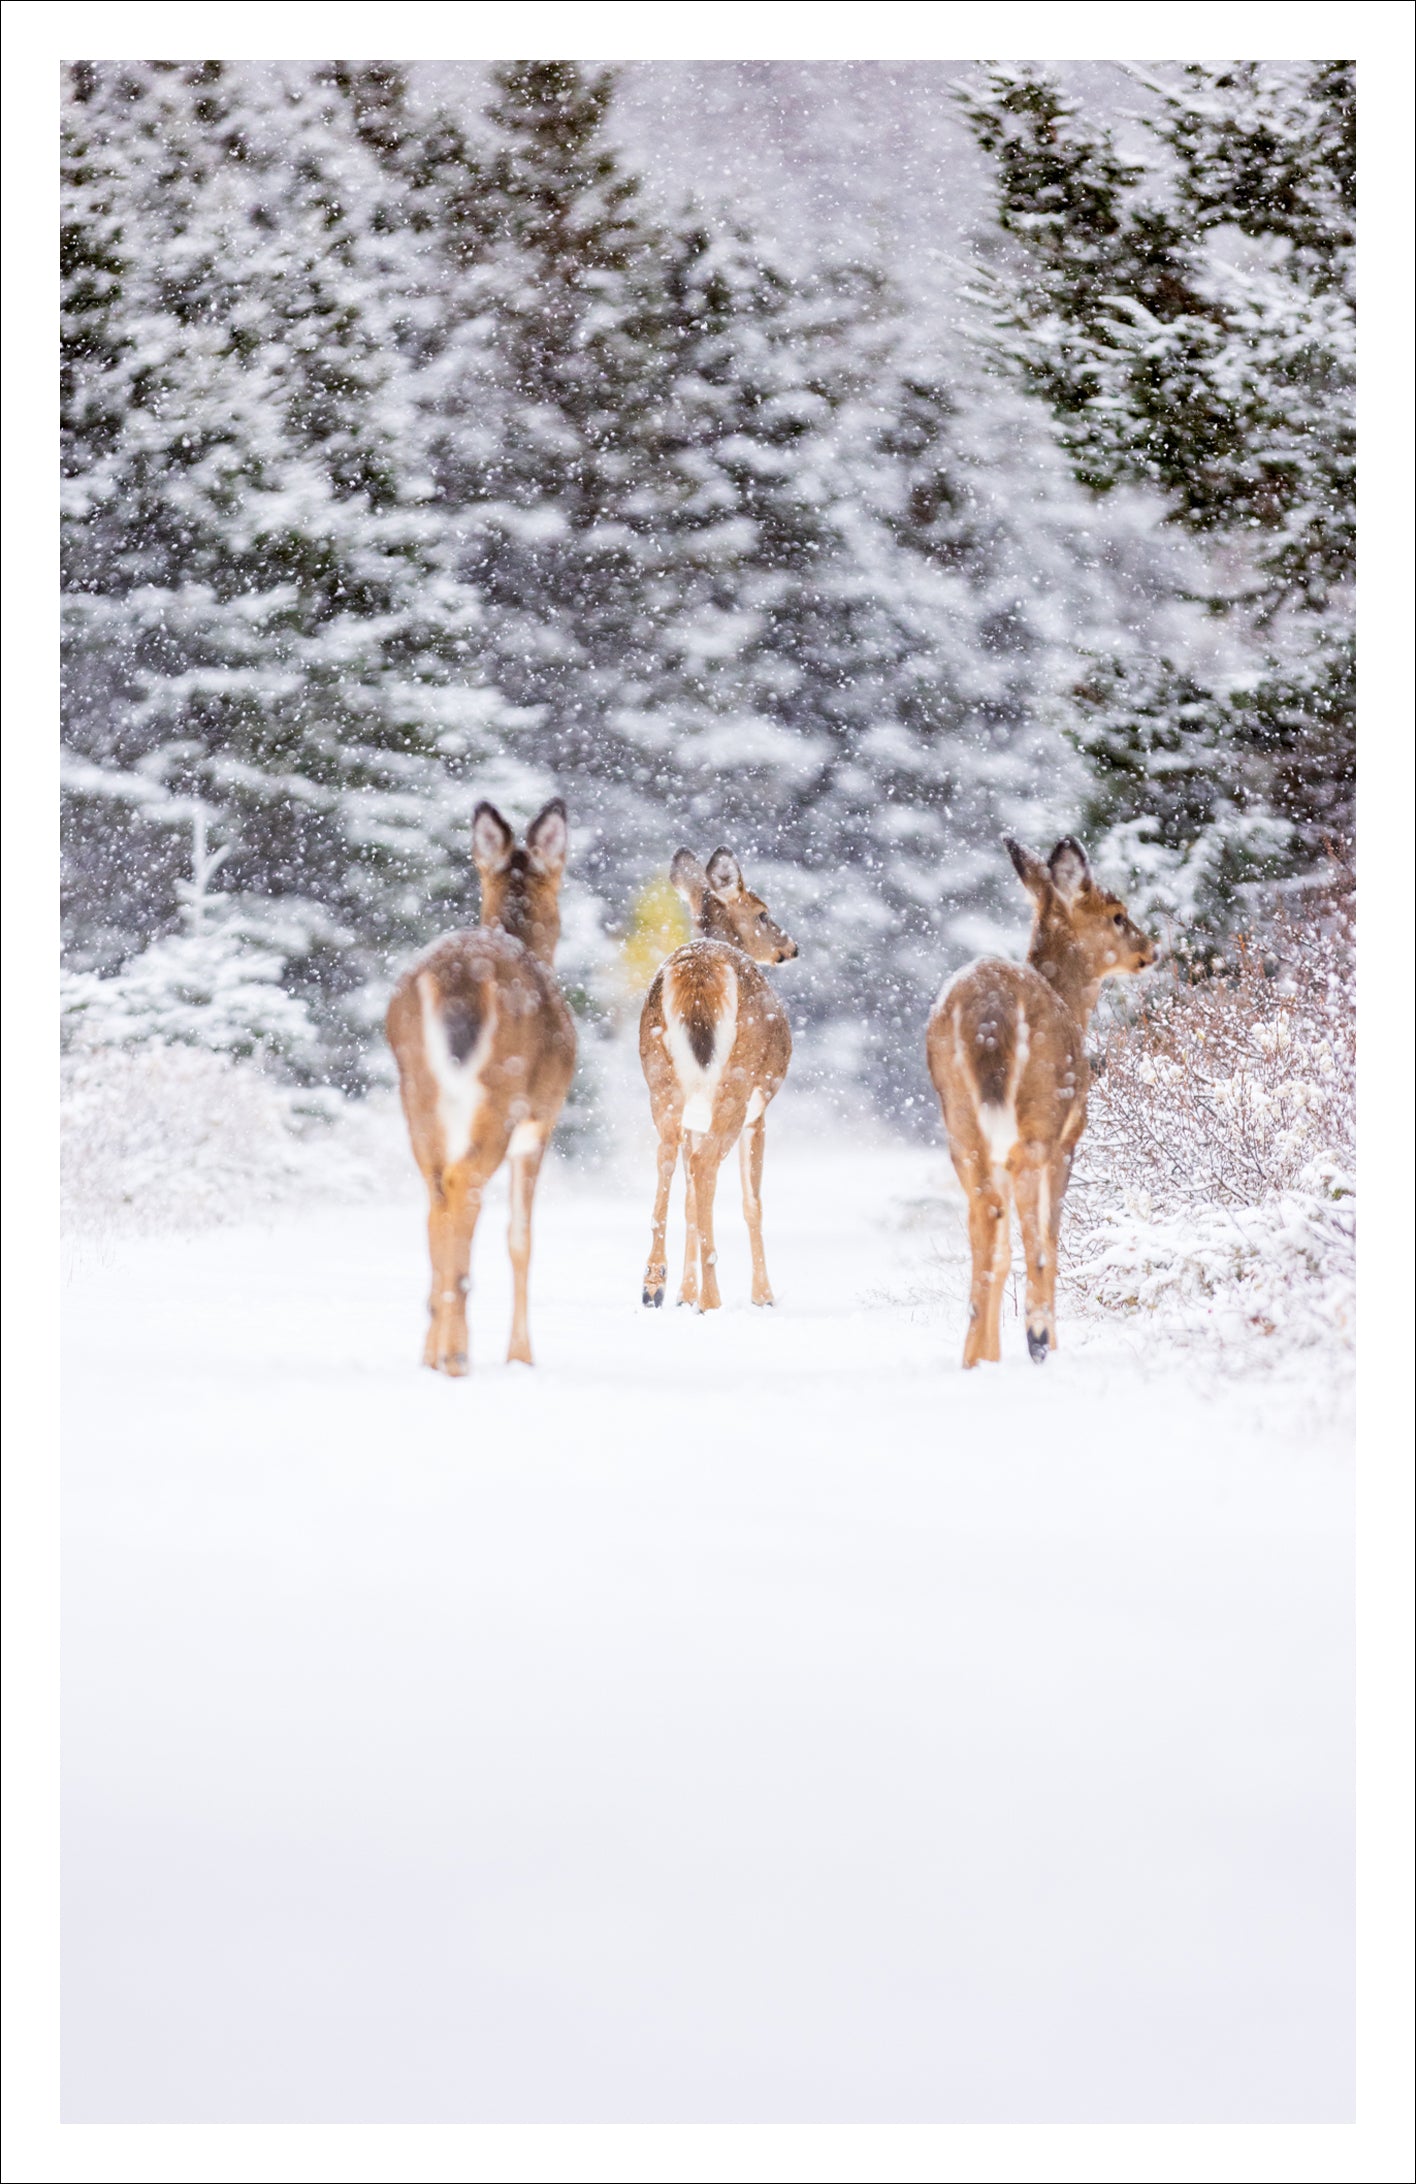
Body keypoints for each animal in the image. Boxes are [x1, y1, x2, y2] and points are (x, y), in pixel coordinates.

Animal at [385, 799, 576, 1374]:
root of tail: (457, 981)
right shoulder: (540, 1122)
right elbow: (521, 1238)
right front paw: (521, 1356)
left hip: (417, 1092)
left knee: (435, 1196)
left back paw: (435, 1348)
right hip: (500, 1095)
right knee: (462, 1187)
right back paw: (456, 1352)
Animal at [639, 848, 798, 1312]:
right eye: (763, 912)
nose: (791, 947)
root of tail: (699, 971)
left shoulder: (694, 1117)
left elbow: (691, 1201)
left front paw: (682, 1293)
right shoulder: (759, 1111)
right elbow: (752, 1202)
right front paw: (764, 1296)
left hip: (661, 1082)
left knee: (668, 1157)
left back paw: (653, 1283)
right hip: (737, 1085)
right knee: (704, 1164)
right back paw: (712, 1298)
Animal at [926, 837, 1155, 1369]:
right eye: (1118, 914)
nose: (1150, 948)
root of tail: (989, 1013)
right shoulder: (1068, 1140)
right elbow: (1051, 1232)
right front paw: (1044, 1339)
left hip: (961, 1126)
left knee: (986, 1222)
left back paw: (977, 1357)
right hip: (1040, 1119)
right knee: (1029, 1234)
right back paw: (1034, 1337)